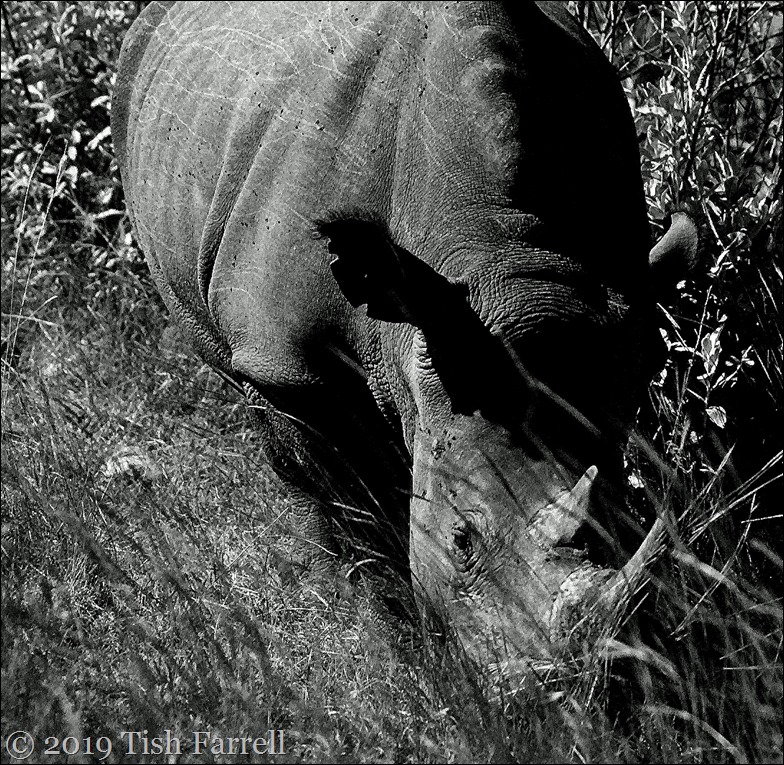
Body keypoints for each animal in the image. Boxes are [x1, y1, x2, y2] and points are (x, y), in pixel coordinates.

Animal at [112, 1, 696, 674]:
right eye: (462, 539)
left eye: (625, 521)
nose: (572, 685)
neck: (501, 255)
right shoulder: (294, 364)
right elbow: (366, 512)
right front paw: (410, 652)